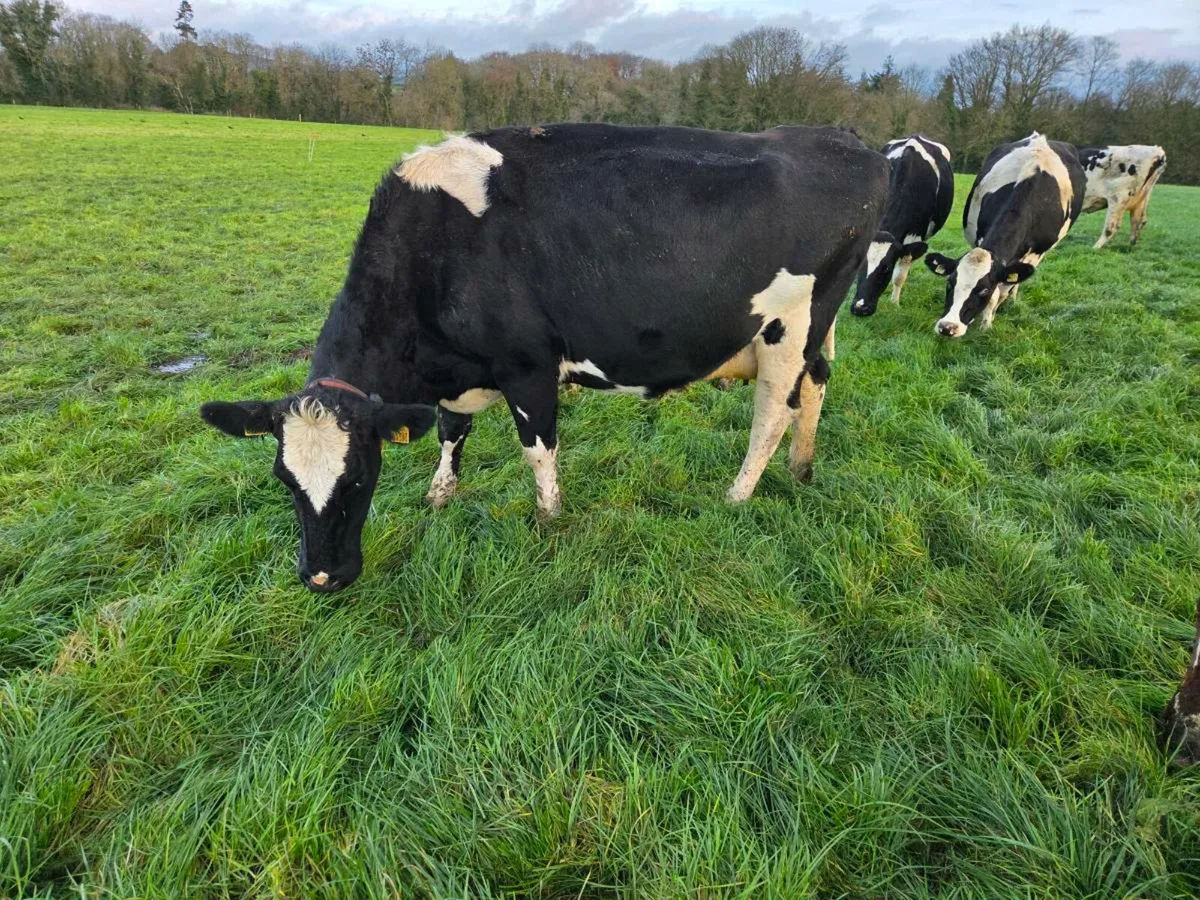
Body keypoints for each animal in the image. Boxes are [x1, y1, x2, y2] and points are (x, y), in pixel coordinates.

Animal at [199, 124, 889, 591]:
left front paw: (549, 519)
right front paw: (440, 495)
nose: (323, 578)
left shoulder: (526, 366)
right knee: (817, 387)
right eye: (284, 481)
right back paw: (802, 469)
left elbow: (538, 449)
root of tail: (842, 139)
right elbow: (451, 429)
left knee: (771, 414)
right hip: (814, 330)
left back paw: (738, 496)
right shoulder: (460, 374)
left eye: (361, 477)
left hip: (790, 324)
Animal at [850, 135, 954, 318]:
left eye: (886, 268)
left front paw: (894, 303)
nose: (859, 308)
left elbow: (899, 277)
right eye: (859, 266)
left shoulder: (913, 239)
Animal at [924, 132, 1085, 338]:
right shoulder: (980, 237)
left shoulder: (1034, 254)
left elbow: (1001, 291)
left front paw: (986, 325)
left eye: (983, 291)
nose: (947, 327)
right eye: (950, 283)